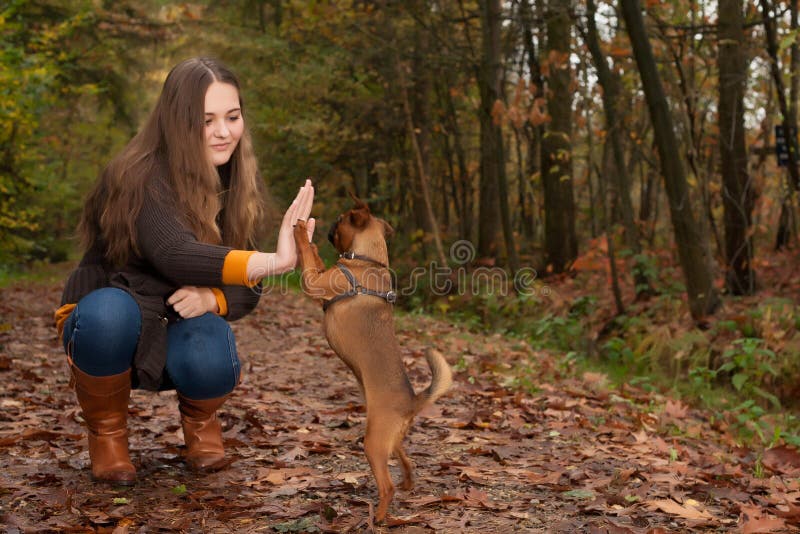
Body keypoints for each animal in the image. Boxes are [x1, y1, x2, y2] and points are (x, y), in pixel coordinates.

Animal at [294, 199, 454, 520]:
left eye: (341, 218)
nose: (330, 225)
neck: (367, 261)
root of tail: (413, 401)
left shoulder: (314, 282)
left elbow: (305, 253)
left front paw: (302, 231)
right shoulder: (319, 275)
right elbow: (314, 257)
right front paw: (314, 242)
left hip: (374, 442)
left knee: (386, 486)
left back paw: (378, 517)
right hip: (391, 441)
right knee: (407, 462)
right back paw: (407, 484)